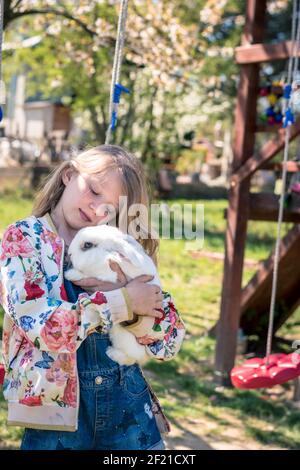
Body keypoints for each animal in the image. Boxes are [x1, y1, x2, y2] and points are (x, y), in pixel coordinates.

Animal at [64, 225, 163, 368]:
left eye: (88, 245)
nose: (69, 254)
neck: (108, 257)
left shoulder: (108, 276)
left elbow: (90, 275)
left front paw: (70, 274)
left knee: (131, 358)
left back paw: (111, 353)